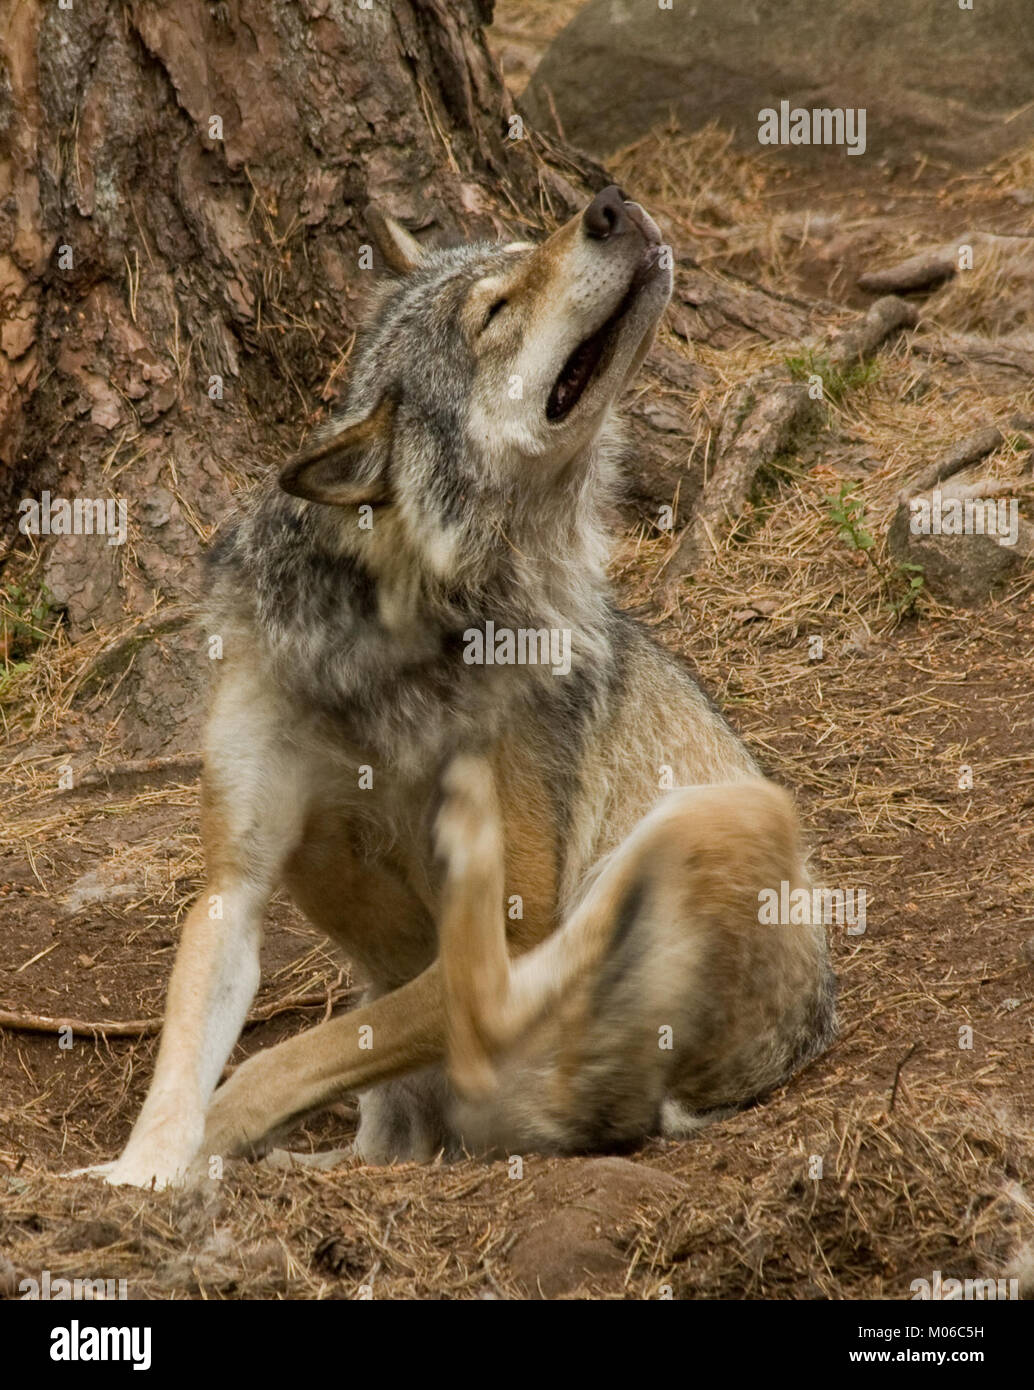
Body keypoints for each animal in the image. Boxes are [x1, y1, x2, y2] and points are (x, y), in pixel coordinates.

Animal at [86, 186, 835, 1187]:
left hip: (713, 820)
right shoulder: (232, 885)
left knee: (485, 1006)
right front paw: (141, 1177)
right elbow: (181, 1071)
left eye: (529, 253)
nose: (609, 202)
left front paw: (210, 1145)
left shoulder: (522, 922)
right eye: (495, 308)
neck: (392, 643)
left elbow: (273, 1063)